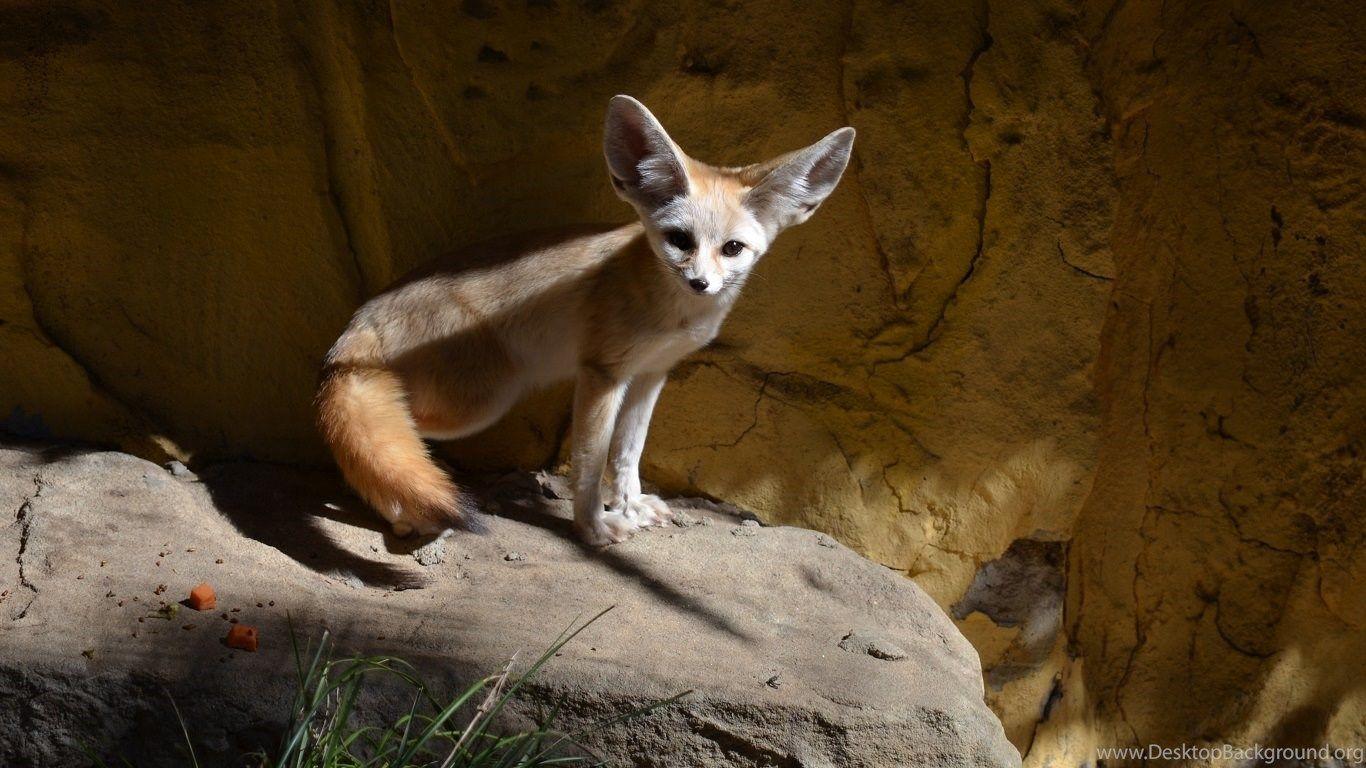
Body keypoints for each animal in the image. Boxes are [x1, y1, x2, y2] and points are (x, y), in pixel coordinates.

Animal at [316, 95, 854, 546]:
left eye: (733, 249)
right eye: (680, 240)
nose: (700, 283)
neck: (672, 311)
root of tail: (360, 319)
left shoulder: (651, 373)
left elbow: (628, 451)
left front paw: (631, 505)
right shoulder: (602, 374)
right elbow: (592, 464)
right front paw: (593, 525)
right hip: (480, 402)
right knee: (386, 435)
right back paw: (405, 514)